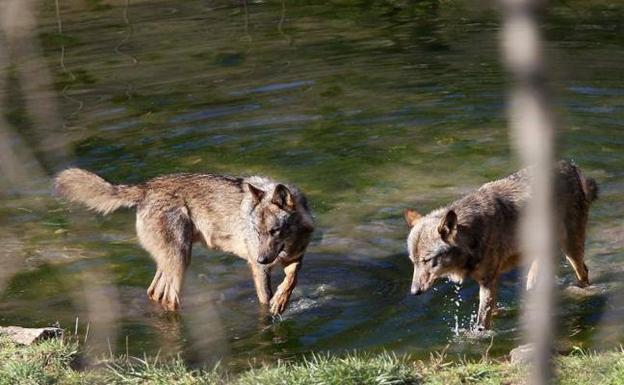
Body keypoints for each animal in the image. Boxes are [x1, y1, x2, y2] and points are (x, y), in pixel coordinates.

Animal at [54, 169, 314, 316]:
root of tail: (146, 187)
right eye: (256, 232)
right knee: (169, 298)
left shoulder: (295, 258)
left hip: (173, 261)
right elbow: (264, 299)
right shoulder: (257, 267)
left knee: (154, 293)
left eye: (274, 231)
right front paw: (271, 310)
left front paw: (281, 301)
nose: (262, 258)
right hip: (180, 261)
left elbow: (291, 279)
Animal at [402, 160, 596, 330]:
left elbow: (482, 321)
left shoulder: (488, 282)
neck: (473, 233)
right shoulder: (490, 282)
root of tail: (570, 165)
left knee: (584, 271)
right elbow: (492, 309)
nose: (413, 292)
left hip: (571, 249)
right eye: (413, 262)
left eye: (427, 260)